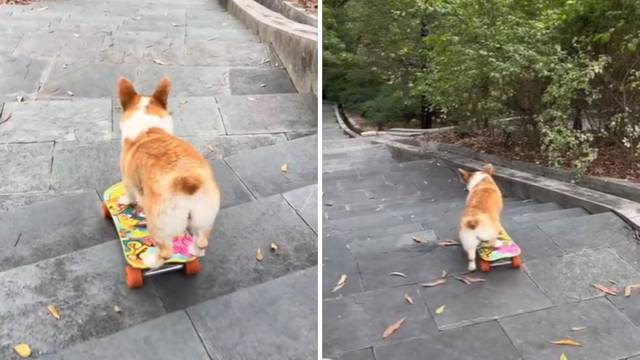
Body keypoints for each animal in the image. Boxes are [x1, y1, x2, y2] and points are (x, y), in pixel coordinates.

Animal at [118, 76, 222, 268]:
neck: (149, 129)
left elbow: (129, 194)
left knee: (166, 251)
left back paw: (151, 261)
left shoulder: (127, 178)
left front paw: (125, 200)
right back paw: (194, 250)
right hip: (203, 218)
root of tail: (187, 182)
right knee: (202, 241)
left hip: (158, 224)